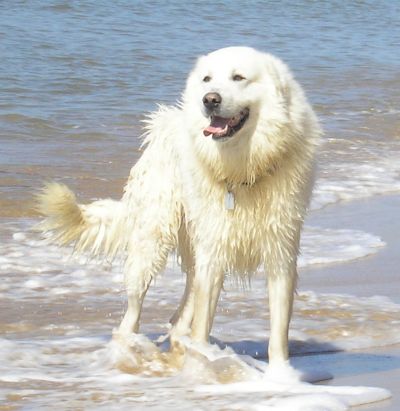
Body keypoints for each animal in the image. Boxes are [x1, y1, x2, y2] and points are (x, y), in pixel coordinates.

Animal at [36, 47, 320, 366]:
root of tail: (163, 123)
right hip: (153, 238)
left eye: (238, 77)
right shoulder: (213, 248)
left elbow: (279, 329)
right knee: (133, 311)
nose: (210, 99)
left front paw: (281, 372)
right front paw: (202, 359)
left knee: (183, 305)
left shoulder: (281, 251)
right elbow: (204, 319)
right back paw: (133, 345)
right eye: (207, 78)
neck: (244, 169)